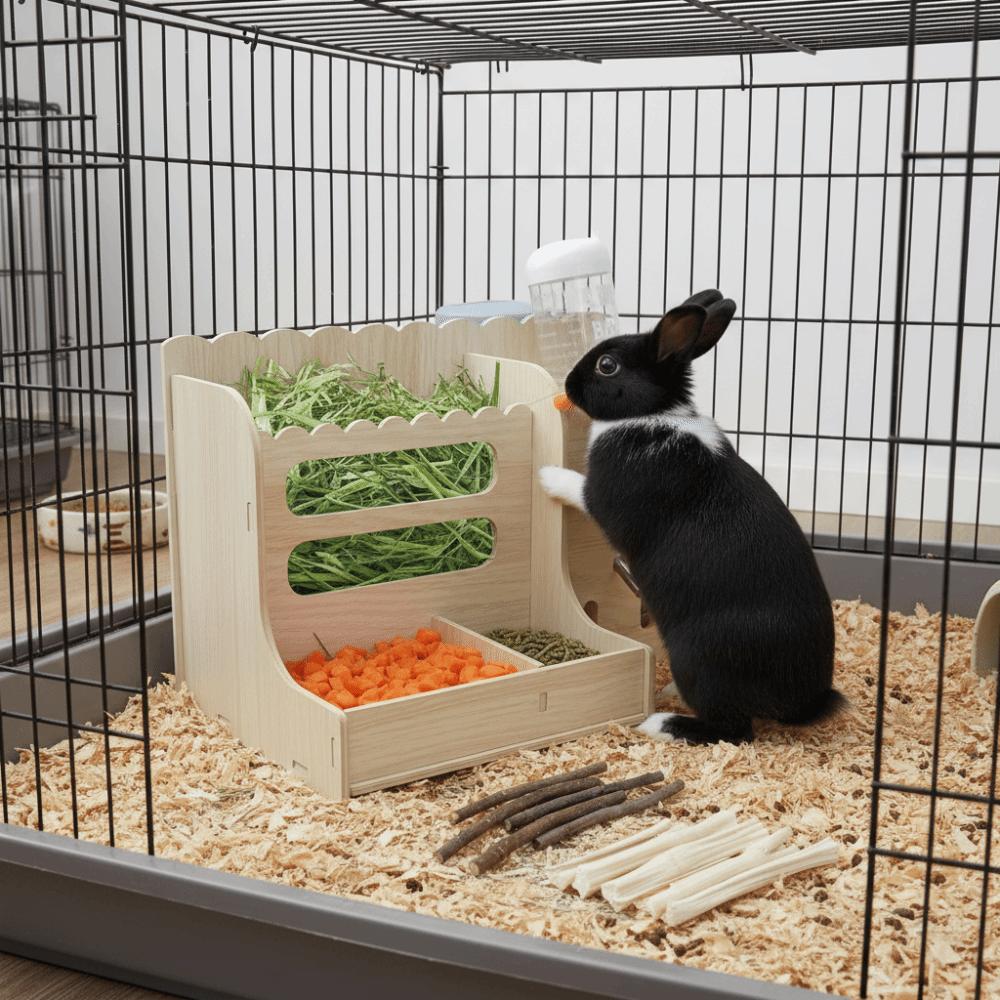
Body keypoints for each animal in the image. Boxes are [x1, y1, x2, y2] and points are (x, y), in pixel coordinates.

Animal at [538, 289, 841, 745]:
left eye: (607, 365)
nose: (570, 383)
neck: (651, 414)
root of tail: (801, 702)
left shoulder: (605, 498)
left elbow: (579, 489)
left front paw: (546, 476)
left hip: (697, 661)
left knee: (733, 730)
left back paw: (660, 722)